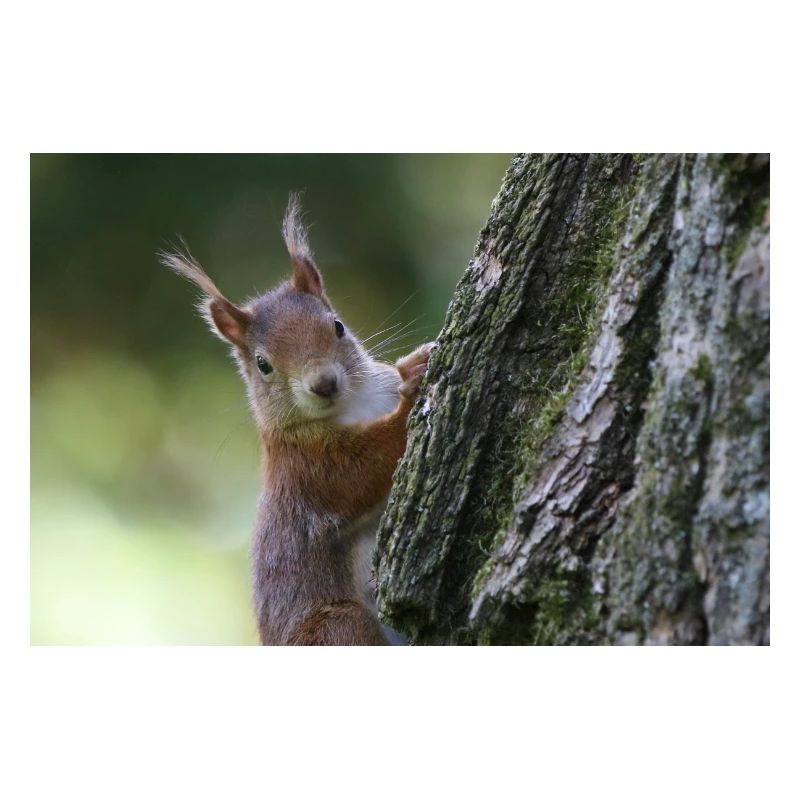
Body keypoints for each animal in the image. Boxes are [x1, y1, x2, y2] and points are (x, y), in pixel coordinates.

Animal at [163, 196, 433, 645]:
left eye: (338, 326)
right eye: (263, 365)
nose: (323, 384)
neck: (356, 403)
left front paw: (413, 363)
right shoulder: (305, 466)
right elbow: (362, 471)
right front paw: (413, 387)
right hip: (338, 627)